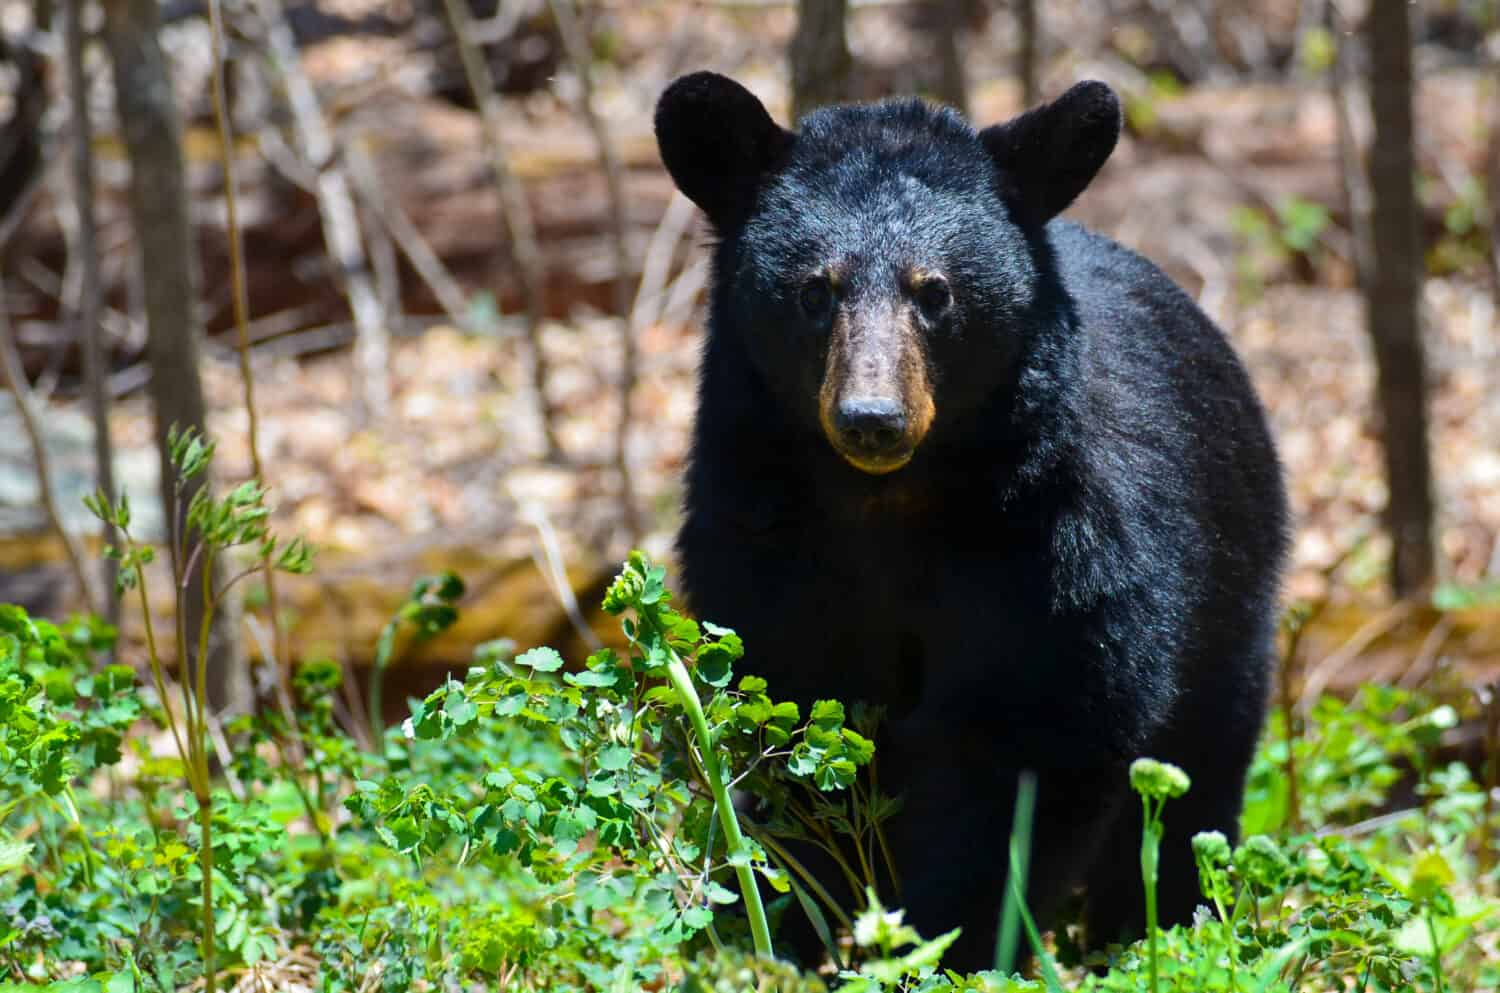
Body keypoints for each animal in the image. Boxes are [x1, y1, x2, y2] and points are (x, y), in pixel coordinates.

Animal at [657, 73, 1290, 978]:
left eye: (936, 292)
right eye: (814, 290)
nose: (872, 419)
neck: (888, 508)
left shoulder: (1057, 550)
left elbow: (1029, 744)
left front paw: (948, 939)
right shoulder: (758, 537)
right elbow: (787, 720)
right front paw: (800, 931)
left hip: (1232, 587)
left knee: (1196, 770)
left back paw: (1156, 923)